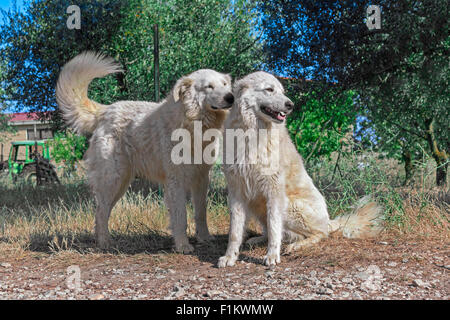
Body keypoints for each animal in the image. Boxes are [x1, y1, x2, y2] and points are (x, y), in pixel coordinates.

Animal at [55, 52, 234, 252]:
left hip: (121, 183)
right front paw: (182, 246)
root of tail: (106, 111)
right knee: (100, 211)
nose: (231, 97)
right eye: (209, 86)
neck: (193, 124)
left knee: (103, 210)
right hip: (113, 179)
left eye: (224, 84)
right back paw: (105, 243)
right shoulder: (175, 181)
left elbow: (200, 213)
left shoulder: (201, 177)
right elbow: (180, 216)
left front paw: (204, 238)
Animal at [218, 72, 384, 268]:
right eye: (269, 89)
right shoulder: (236, 191)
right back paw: (258, 240)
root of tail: (329, 221)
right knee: (277, 231)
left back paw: (297, 245)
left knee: (319, 234)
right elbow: (235, 231)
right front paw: (230, 256)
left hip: (290, 205)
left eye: (282, 91)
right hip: (257, 205)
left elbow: (274, 227)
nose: (290, 105)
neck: (252, 133)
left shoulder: (274, 191)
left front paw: (272, 255)